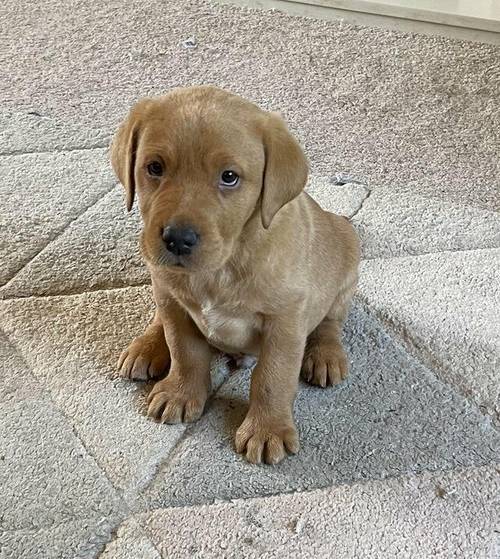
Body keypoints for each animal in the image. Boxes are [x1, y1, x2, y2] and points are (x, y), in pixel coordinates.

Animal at [111, 86, 360, 464]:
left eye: (229, 177)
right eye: (154, 167)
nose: (177, 239)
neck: (222, 266)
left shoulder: (285, 321)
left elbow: (272, 378)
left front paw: (266, 430)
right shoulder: (176, 307)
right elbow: (185, 351)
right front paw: (181, 392)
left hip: (347, 253)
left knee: (330, 321)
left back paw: (325, 355)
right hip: (162, 285)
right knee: (160, 315)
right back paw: (147, 346)